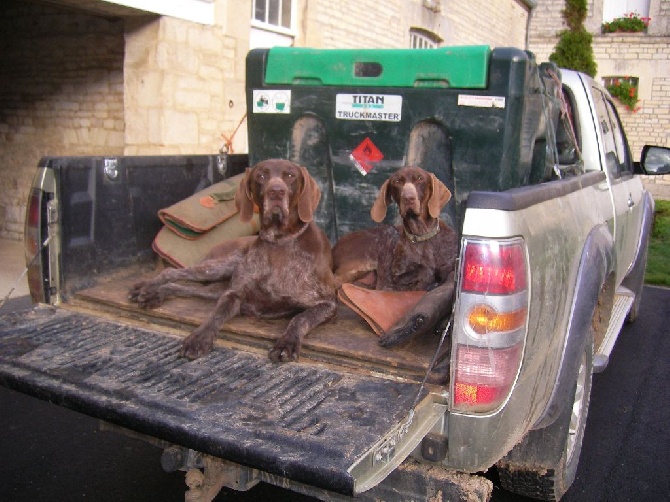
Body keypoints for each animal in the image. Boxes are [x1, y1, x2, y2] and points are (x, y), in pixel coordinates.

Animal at [131, 160, 338, 360]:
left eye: (290, 176)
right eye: (261, 176)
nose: (276, 192)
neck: (278, 241)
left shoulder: (327, 304)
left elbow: (300, 318)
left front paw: (287, 343)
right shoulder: (233, 294)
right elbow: (215, 316)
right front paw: (199, 338)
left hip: (217, 285)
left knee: (182, 286)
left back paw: (154, 293)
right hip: (219, 268)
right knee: (172, 272)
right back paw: (147, 288)